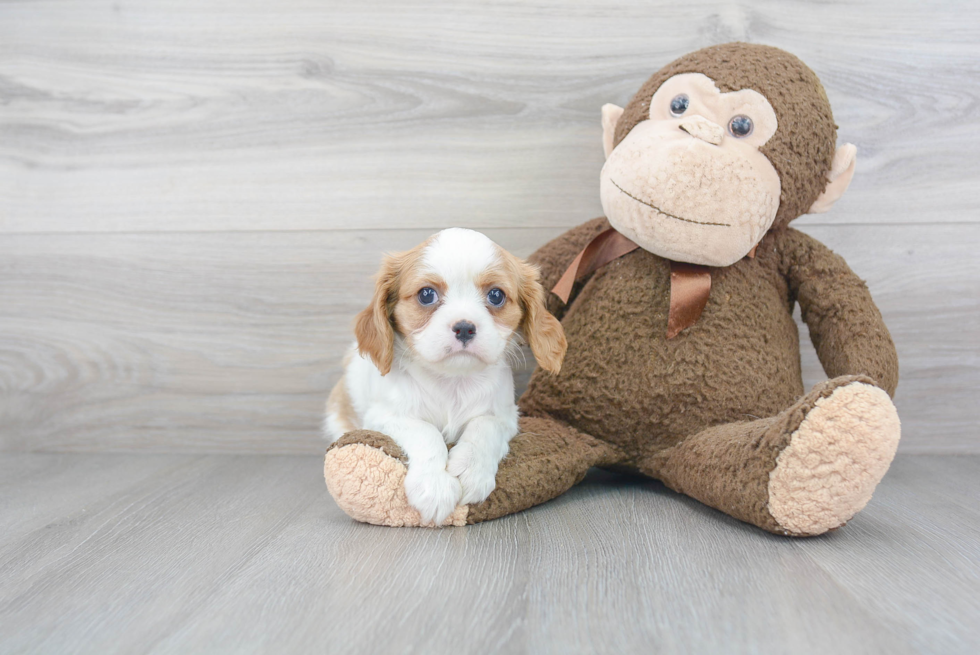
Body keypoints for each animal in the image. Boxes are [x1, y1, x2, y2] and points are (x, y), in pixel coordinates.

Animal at [324, 228, 568, 524]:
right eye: (427, 294)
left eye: (496, 295)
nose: (464, 327)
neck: (453, 381)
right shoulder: (383, 416)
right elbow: (425, 432)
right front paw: (434, 486)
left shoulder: (505, 415)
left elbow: (484, 426)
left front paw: (471, 470)